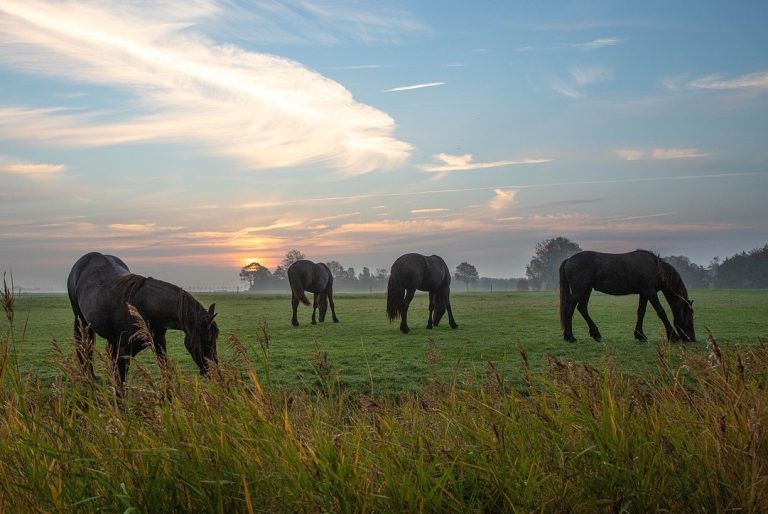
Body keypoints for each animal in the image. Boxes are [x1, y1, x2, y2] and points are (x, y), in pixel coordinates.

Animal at [67, 252, 219, 385]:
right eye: (207, 340)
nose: (214, 372)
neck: (143, 309)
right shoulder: (123, 352)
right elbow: (121, 386)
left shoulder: (158, 343)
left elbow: (165, 373)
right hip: (81, 321)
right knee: (83, 347)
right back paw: (88, 377)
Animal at [559, 249, 695, 343]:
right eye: (689, 315)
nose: (691, 338)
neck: (655, 268)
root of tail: (569, 259)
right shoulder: (651, 292)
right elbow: (661, 312)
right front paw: (673, 336)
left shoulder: (644, 293)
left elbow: (641, 312)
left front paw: (640, 335)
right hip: (579, 290)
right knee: (570, 308)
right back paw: (570, 337)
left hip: (586, 290)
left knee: (582, 308)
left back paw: (595, 334)